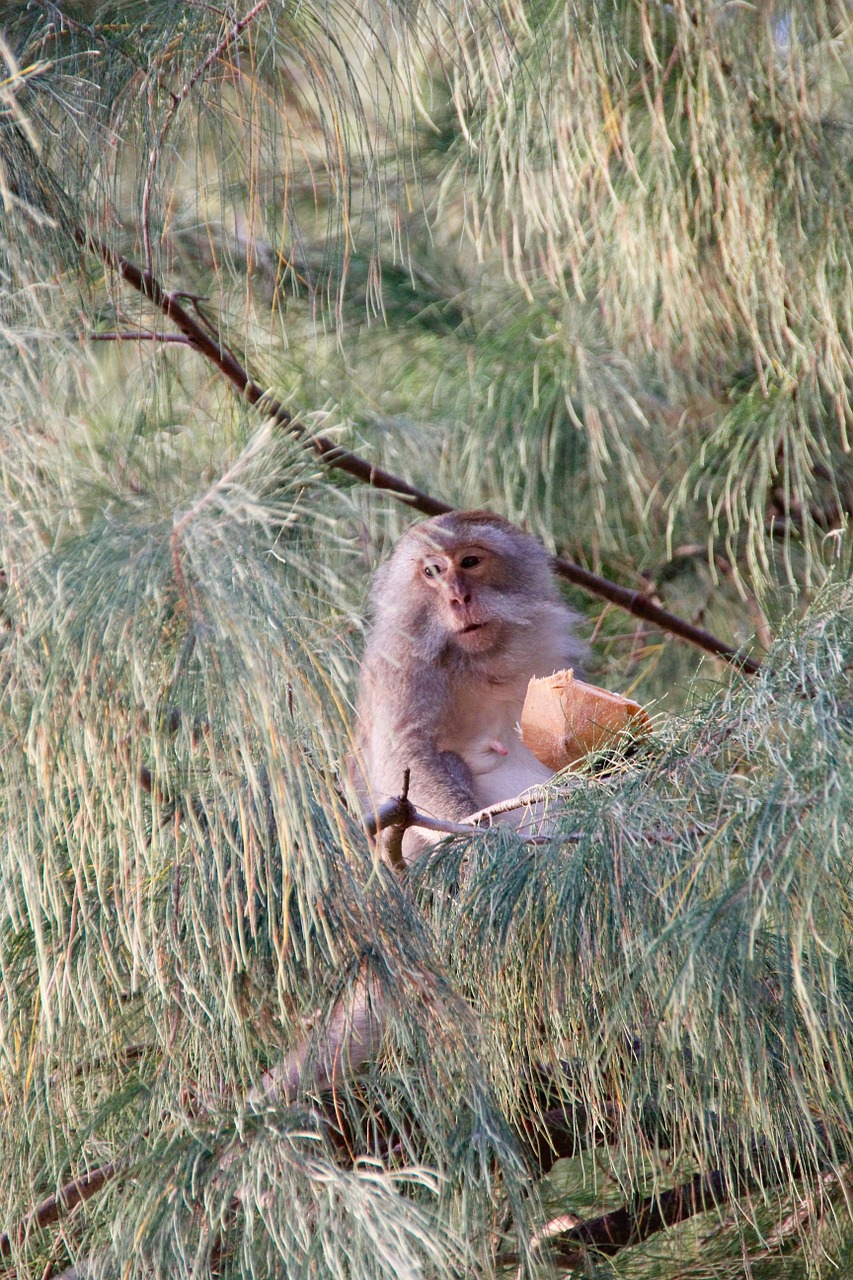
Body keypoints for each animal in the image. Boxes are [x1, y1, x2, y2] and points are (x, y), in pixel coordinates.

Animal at [353, 509, 584, 860]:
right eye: (433, 571)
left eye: (470, 561)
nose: (458, 598)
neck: (478, 661)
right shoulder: (399, 664)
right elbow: (404, 755)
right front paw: (478, 836)